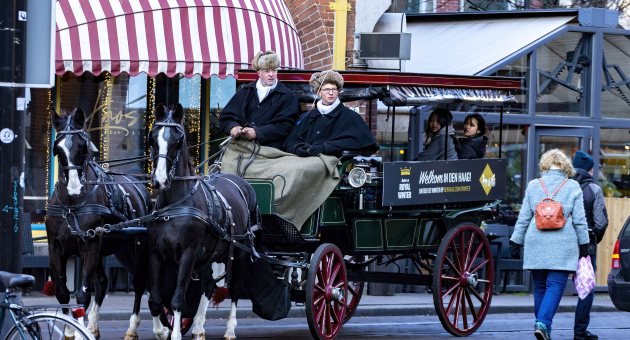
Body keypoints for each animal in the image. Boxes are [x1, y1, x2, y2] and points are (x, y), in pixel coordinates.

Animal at [46, 107, 152, 338]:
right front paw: (70, 330)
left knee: (140, 282)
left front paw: (78, 333)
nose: (74, 187)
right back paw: (93, 327)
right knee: (103, 283)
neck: (72, 204)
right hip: (114, 249)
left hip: (135, 248)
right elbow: (63, 293)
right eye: (58, 148)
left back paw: (133, 328)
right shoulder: (56, 248)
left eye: (83, 146)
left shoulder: (90, 246)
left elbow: (82, 295)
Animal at [148, 104, 262, 340]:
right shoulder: (156, 253)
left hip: (240, 252)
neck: (176, 203)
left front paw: (174, 334)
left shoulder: (188, 254)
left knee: (235, 288)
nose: (159, 180)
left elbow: (177, 299)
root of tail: (240, 181)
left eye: (178, 141)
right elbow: (155, 299)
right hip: (211, 255)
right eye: (152, 138)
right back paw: (199, 327)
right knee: (208, 286)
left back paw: (230, 329)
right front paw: (161, 330)